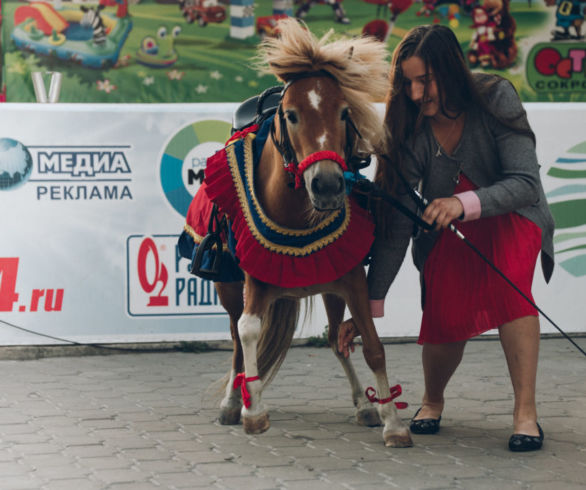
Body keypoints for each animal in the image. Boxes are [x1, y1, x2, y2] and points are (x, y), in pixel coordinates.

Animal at [178, 19, 410, 448]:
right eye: (291, 115)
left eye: (344, 112)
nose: (328, 184)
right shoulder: (254, 277)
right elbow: (248, 332)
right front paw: (254, 411)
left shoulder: (351, 277)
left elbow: (370, 344)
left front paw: (393, 421)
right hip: (227, 285)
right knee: (235, 339)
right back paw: (233, 401)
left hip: (327, 287)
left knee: (335, 339)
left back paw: (363, 405)